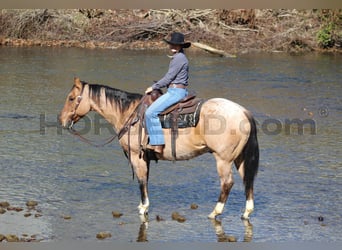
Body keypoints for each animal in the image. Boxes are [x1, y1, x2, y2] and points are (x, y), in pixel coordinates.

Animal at [58, 77, 260, 220]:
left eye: (71, 98)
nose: (62, 120)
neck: (129, 114)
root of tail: (243, 111)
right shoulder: (145, 157)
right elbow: (145, 180)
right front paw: (144, 206)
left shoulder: (136, 156)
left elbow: (141, 181)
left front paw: (143, 208)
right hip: (239, 158)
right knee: (247, 180)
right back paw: (246, 212)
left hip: (223, 159)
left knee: (227, 183)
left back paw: (215, 212)